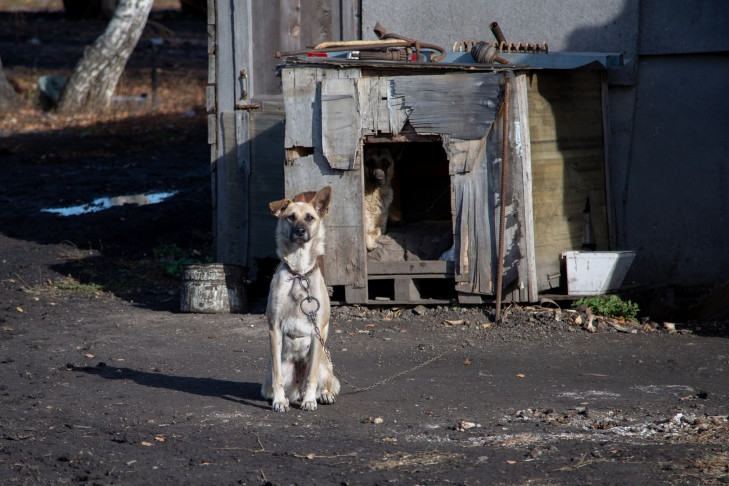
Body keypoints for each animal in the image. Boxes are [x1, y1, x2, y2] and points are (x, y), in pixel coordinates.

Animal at [262, 185, 342, 410]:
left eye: (310, 218)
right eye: (290, 217)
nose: (300, 231)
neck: (299, 273)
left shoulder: (319, 330)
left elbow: (312, 376)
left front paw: (309, 401)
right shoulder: (274, 327)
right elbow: (277, 377)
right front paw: (279, 401)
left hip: (325, 363)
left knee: (320, 382)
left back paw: (320, 396)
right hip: (277, 369)